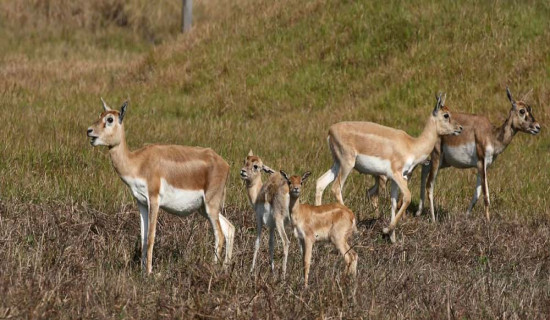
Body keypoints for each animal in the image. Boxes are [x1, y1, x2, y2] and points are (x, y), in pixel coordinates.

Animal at [86, 99, 235, 274]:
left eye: (110, 119)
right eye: (100, 114)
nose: (89, 131)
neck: (138, 162)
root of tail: (224, 164)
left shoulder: (154, 200)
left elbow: (151, 237)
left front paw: (150, 272)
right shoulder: (141, 202)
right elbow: (143, 237)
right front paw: (142, 271)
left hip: (211, 205)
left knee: (219, 234)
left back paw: (213, 269)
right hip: (204, 208)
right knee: (230, 228)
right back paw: (225, 269)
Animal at [242, 150, 294, 278]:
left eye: (256, 166)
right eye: (245, 161)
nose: (242, 171)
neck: (258, 194)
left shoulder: (259, 219)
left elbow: (257, 243)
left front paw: (251, 270)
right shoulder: (271, 226)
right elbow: (271, 245)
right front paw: (272, 270)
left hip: (279, 221)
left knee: (286, 242)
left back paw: (283, 276)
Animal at [314, 94, 466, 241]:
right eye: (446, 115)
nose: (460, 128)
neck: (411, 145)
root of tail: (331, 130)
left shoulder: (395, 179)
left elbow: (393, 202)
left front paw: (392, 237)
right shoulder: (397, 174)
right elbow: (407, 197)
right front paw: (386, 230)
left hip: (337, 164)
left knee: (320, 182)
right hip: (347, 164)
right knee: (336, 188)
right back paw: (354, 230)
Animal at [418, 87, 544, 222]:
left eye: (530, 109)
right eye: (522, 111)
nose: (537, 127)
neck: (491, 135)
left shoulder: (483, 166)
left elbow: (476, 195)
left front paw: (466, 217)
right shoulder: (481, 162)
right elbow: (486, 195)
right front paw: (488, 221)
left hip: (445, 162)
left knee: (424, 167)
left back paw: (418, 212)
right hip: (437, 157)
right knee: (430, 185)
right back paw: (433, 219)